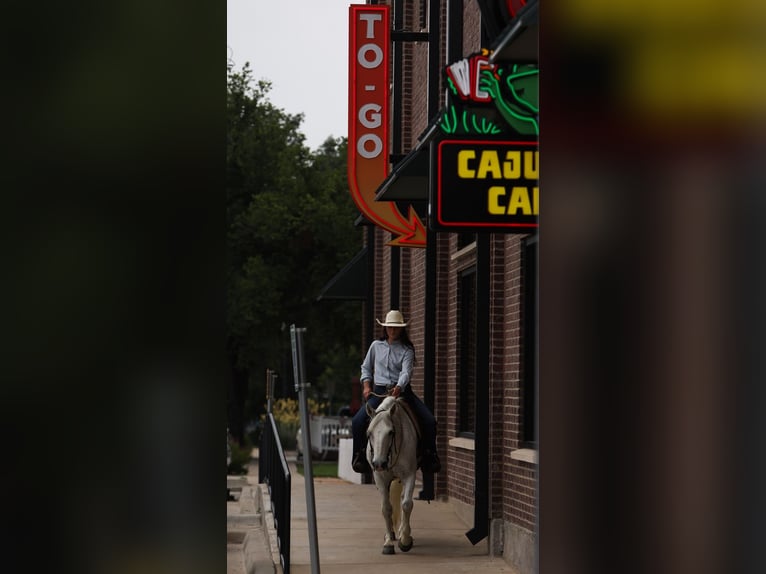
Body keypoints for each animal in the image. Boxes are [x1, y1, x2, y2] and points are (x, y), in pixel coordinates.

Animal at [366, 398, 420, 556]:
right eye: (369, 433)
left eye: (390, 432)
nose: (379, 463)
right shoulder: (380, 478)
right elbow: (386, 508)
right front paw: (388, 542)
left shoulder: (410, 475)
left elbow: (407, 504)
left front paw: (405, 540)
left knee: (403, 500)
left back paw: (402, 532)